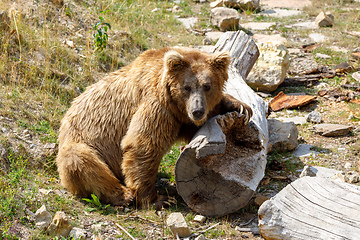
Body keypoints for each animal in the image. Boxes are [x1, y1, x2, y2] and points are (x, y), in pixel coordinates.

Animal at [57, 47, 253, 208]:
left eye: (207, 86)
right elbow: (144, 145)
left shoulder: (179, 117)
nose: (197, 111)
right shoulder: (157, 105)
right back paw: (123, 195)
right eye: (187, 87)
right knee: (81, 161)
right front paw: (156, 199)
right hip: (82, 144)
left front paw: (240, 106)